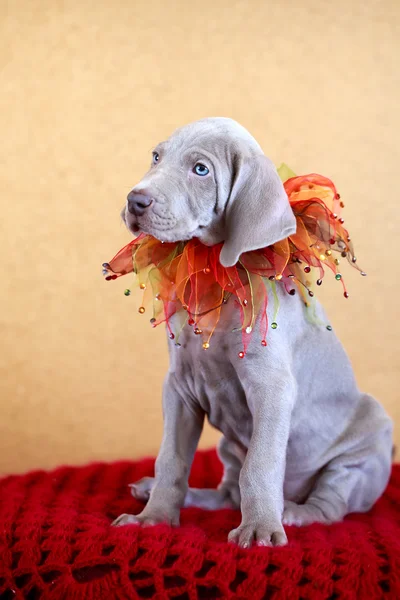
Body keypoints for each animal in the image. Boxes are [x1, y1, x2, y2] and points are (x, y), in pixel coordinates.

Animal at [111, 117, 392, 548]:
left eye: (201, 170)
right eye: (156, 157)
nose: (135, 201)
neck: (217, 268)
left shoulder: (271, 386)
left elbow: (260, 464)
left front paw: (259, 528)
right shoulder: (178, 388)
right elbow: (171, 459)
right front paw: (153, 519)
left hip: (365, 446)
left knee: (330, 504)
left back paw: (293, 513)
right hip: (229, 446)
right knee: (228, 492)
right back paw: (158, 491)